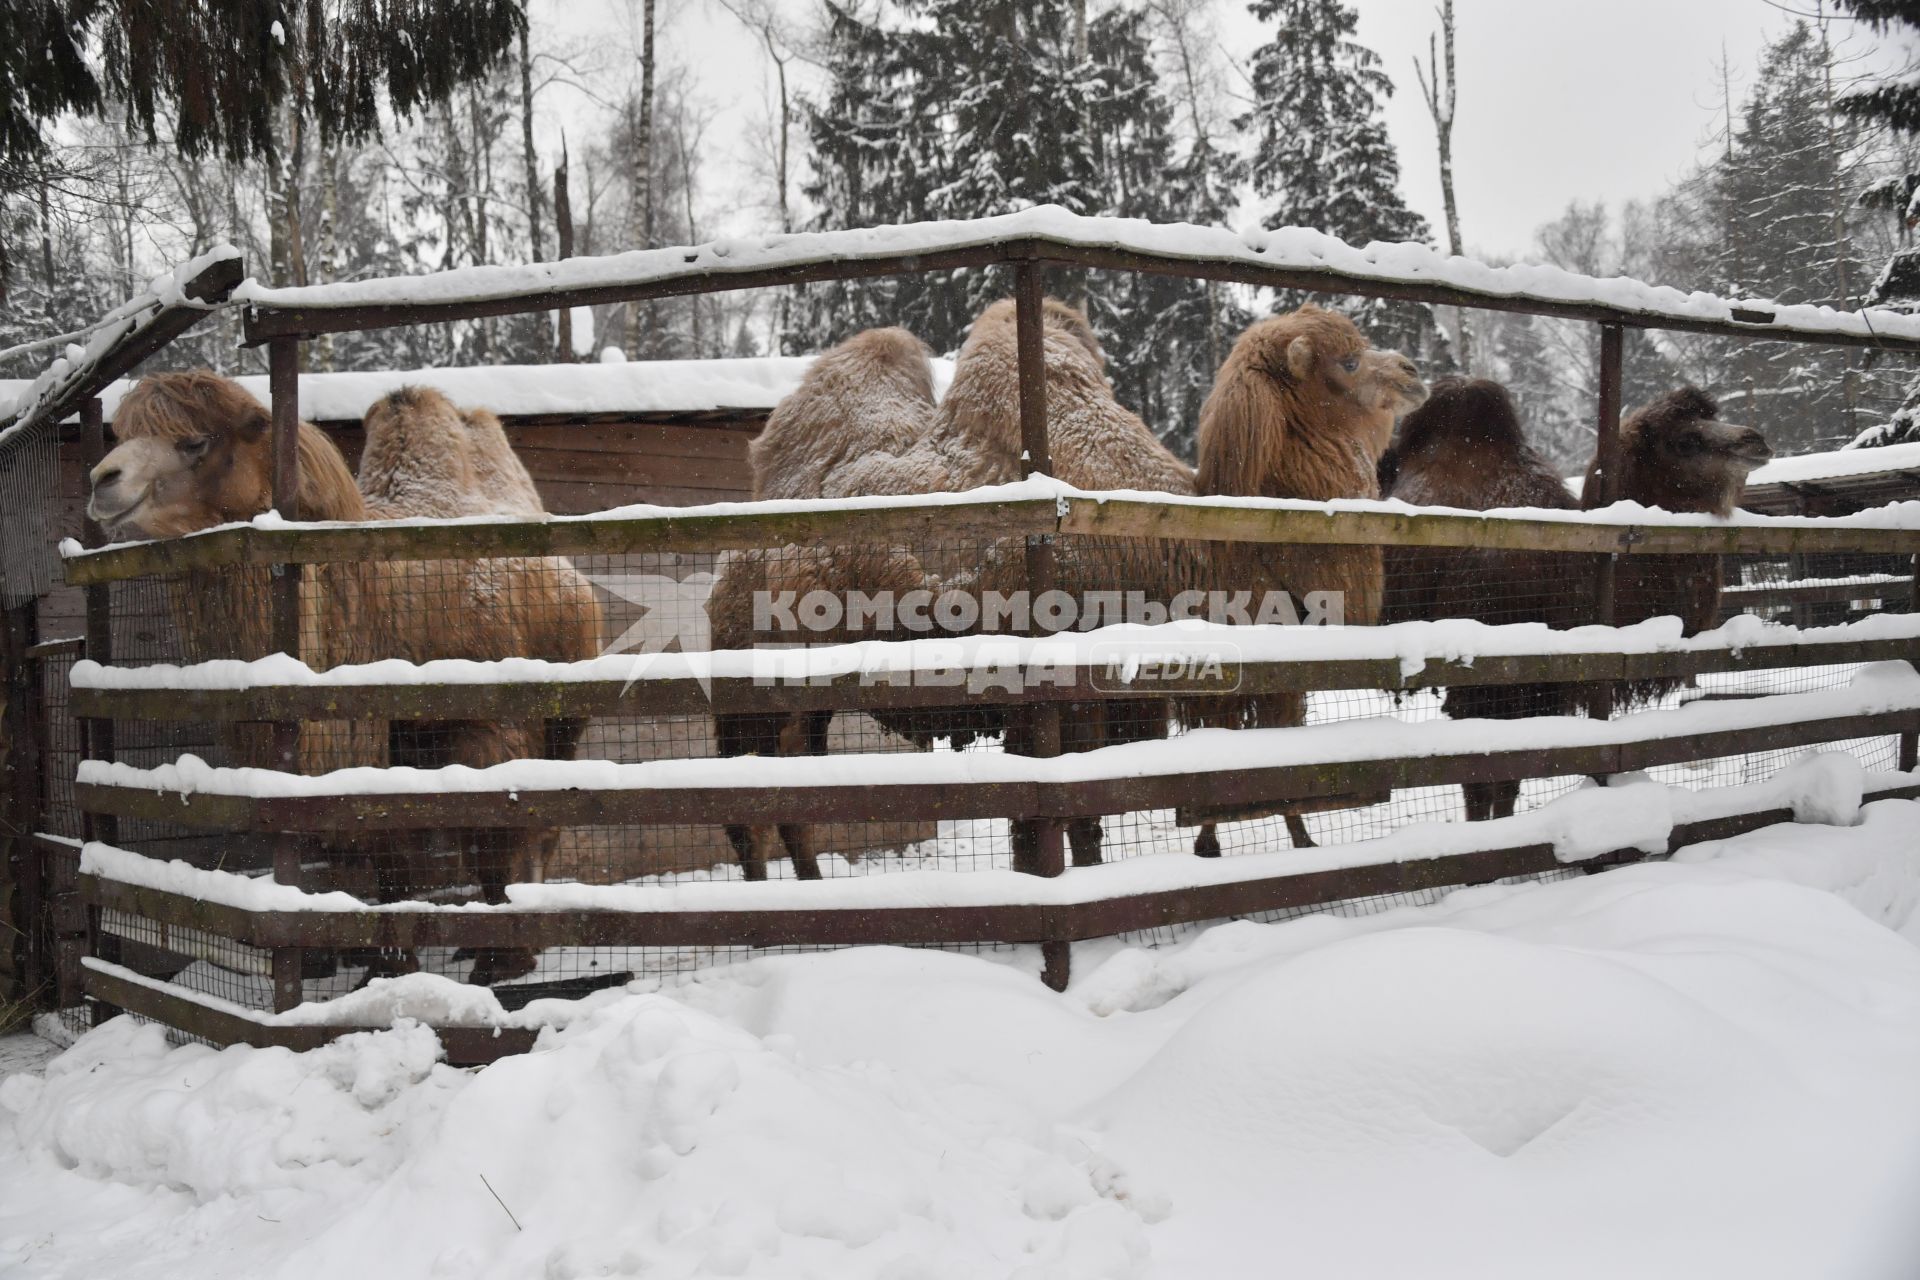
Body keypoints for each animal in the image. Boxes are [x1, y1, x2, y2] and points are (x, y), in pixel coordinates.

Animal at [86, 376, 599, 990]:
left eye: (196, 440)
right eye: (121, 434)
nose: (102, 480)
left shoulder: (484, 726)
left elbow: (493, 831)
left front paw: (503, 960)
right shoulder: (366, 747)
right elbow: (384, 849)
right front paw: (386, 966)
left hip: (565, 714)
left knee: (544, 822)